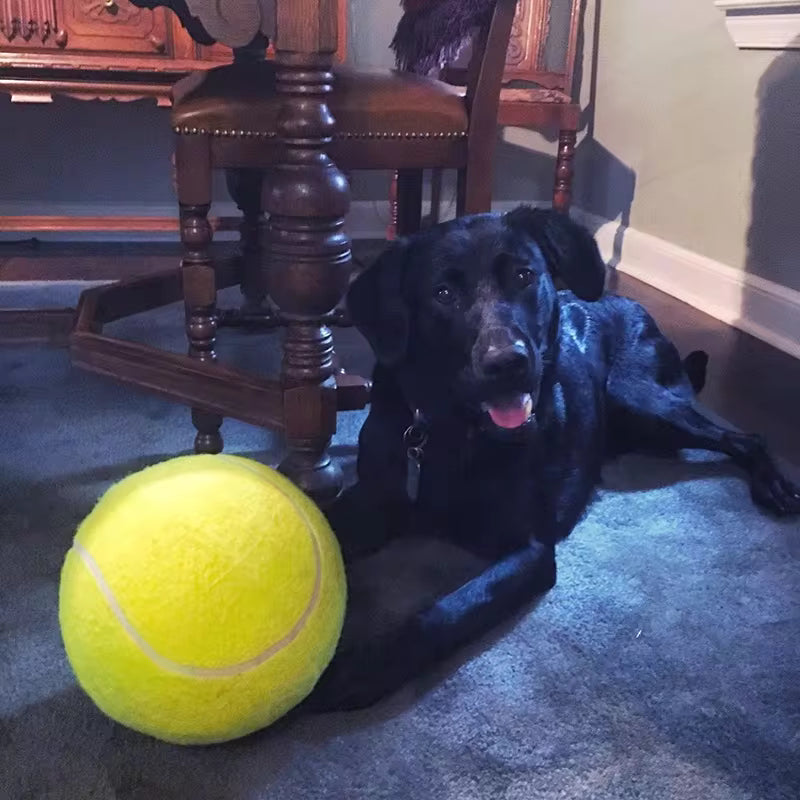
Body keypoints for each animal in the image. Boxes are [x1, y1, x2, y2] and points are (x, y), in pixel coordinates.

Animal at [308, 208, 800, 712]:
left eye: (524, 275)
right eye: (442, 293)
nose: (508, 362)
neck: (452, 428)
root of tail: (631, 305)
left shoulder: (530, 549)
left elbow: (451, 608)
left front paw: (359, 671)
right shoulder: (373, 501)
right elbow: (325, 525)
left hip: (641, 397)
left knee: (745, 437)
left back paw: (774, 486)